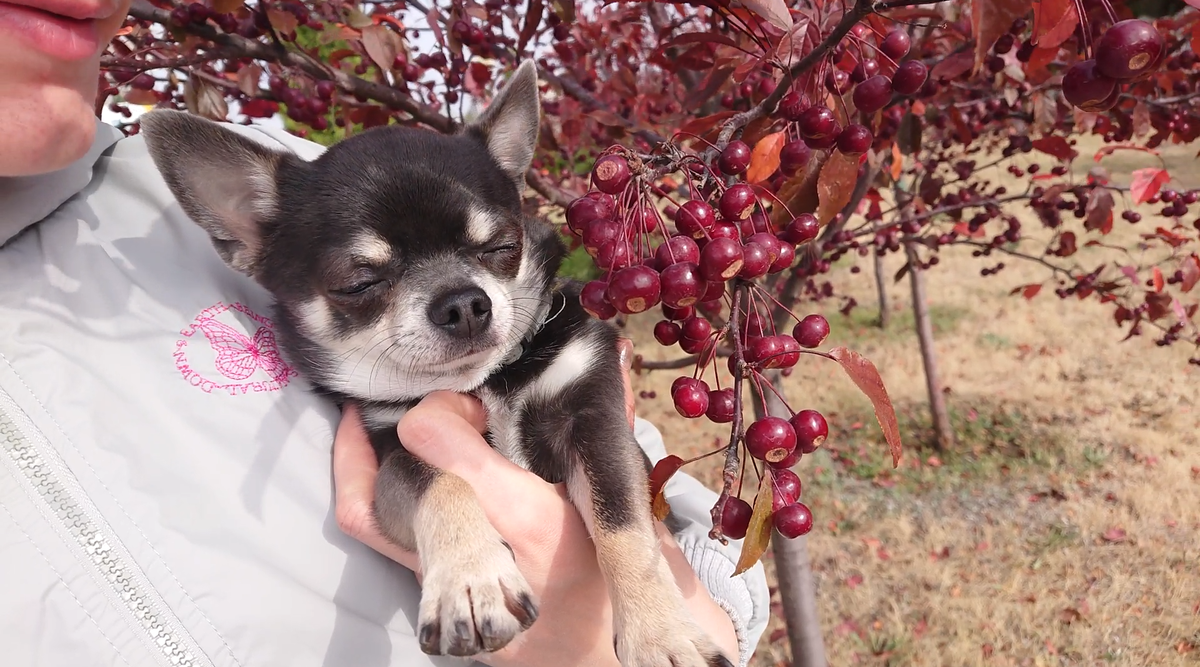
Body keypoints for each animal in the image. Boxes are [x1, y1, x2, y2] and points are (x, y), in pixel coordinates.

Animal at [142, 58, 729, 667]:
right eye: (359, 284)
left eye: (501, 246)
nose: (464, 302)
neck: (486, 383)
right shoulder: (394, 450)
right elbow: (440, 483)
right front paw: (470, 580)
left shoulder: (597, 421)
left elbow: (623, 524)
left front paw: (660, 633)